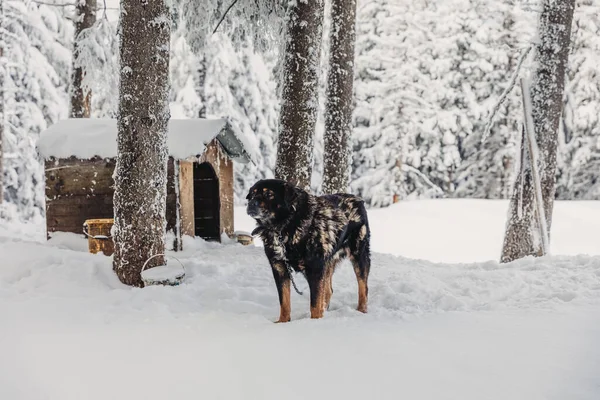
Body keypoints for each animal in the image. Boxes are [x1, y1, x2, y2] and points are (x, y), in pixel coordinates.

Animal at [245, 180, 370, 324]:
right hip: (328, 262)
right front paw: (283, 322)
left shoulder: (315, 269)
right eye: (253, 194)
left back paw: (361, 310)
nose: (251, 203)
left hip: (359, 255)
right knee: (328, 290)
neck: (284, 227)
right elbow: (284, 301)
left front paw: (314, 322)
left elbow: (314, 303)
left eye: (269, 194)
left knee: (363, 287)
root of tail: (357, 198)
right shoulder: (279, 268)